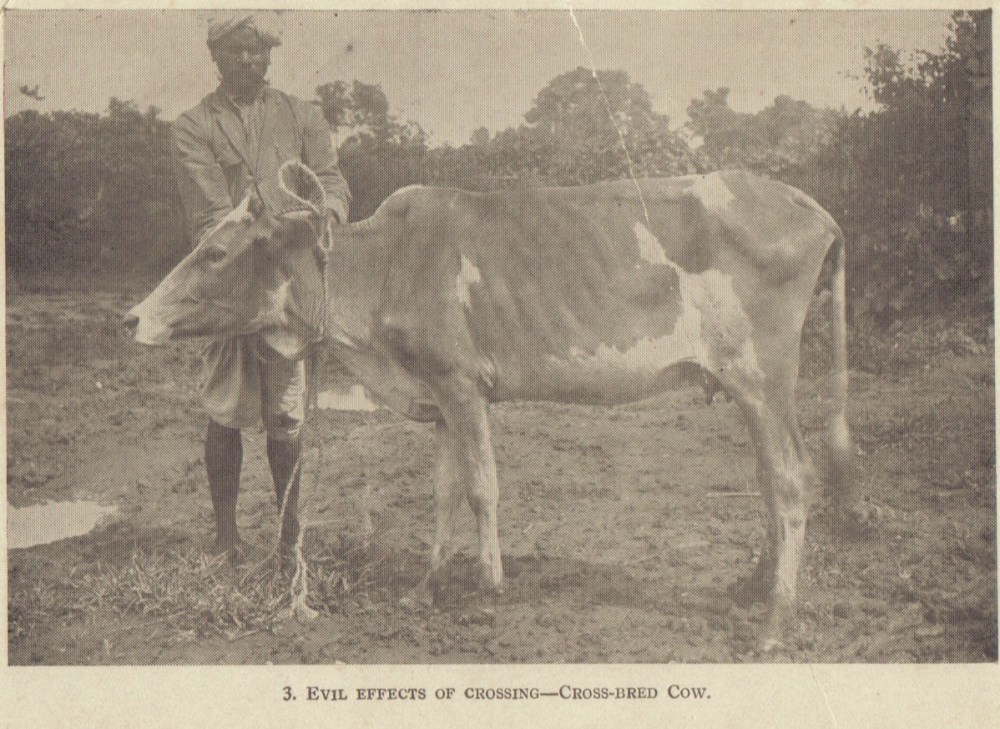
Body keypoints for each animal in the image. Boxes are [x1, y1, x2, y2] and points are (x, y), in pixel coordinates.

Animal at [126, 160, 857, 650]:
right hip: (751, 386)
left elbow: (481, 486)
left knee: (790, 479)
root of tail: (812, 206)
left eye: (216, 251)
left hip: (762, 375)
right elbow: (444, 490)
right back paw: (754, 586)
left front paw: (488, 589)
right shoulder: (438, 395)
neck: (385, 268)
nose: (133, 316)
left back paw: (775, 620)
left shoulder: (461, 383)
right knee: (773, 480)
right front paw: (425, 587)